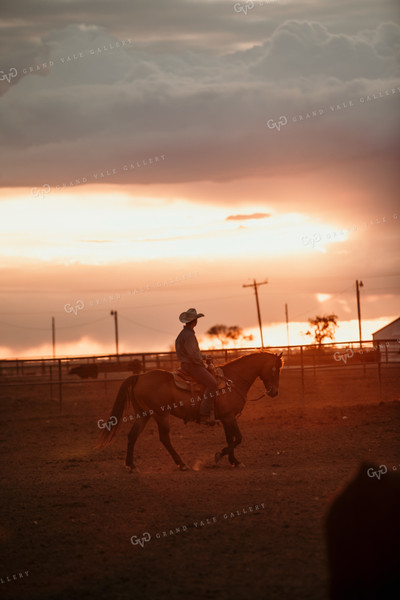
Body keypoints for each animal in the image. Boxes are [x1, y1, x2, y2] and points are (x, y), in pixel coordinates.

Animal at [96, 350, 284, 472]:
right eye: (276, 370)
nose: (274, 392)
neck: (232, 380)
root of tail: (140, 376)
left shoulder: (226, 418)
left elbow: (230, 438)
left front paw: (234, 461)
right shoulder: (230, 417)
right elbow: (238, 438)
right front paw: (219, 455)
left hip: (144, 415)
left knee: (132, 436)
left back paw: (131, 465)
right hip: (161, 415)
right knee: (164, 438)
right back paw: (182, 464)